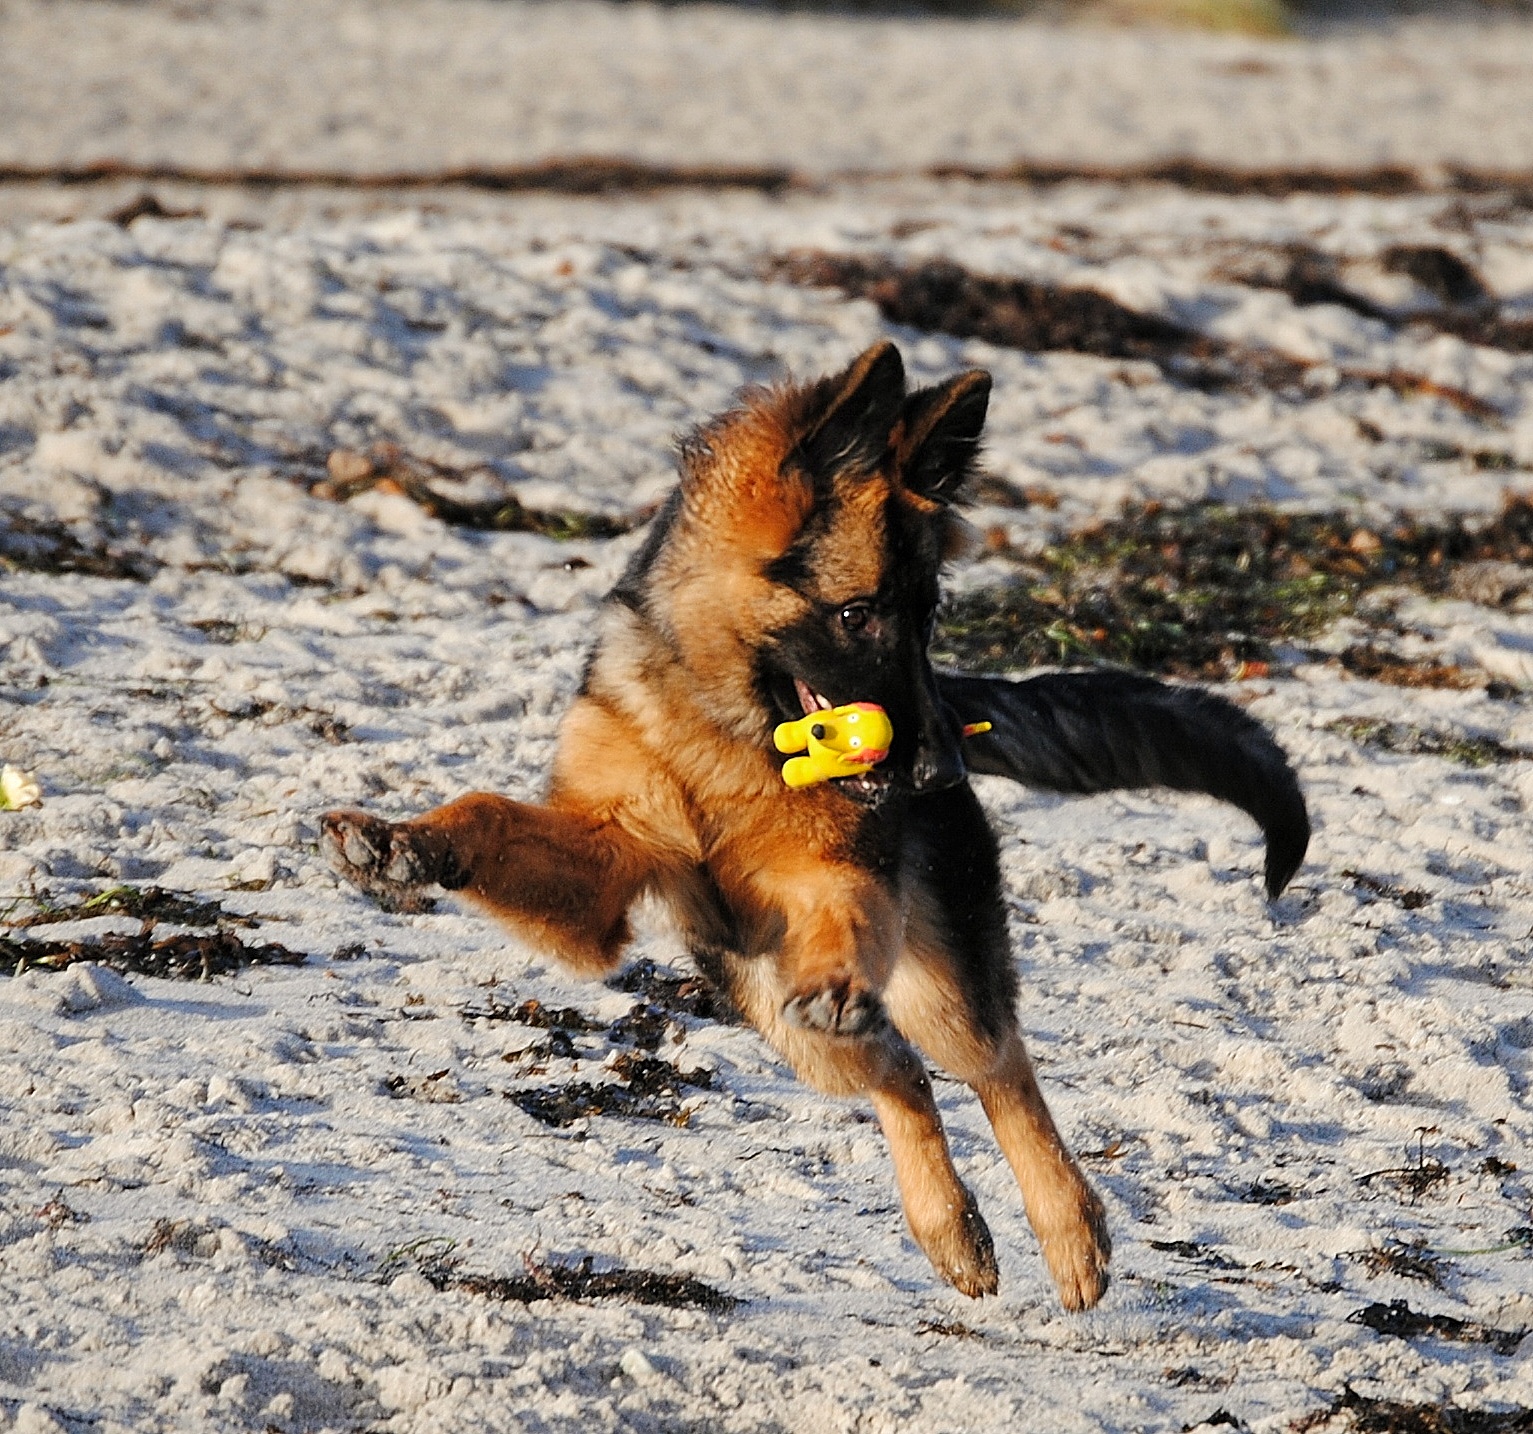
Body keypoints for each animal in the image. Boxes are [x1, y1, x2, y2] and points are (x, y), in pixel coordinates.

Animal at [323, 345, 1306, 1312]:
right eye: (856, 613)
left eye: (930, 613)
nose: (937, 774)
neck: (726, 732)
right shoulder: (603, 868)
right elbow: (487, 813)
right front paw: (403, 843)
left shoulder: (836, 872)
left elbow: (844, 922)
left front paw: (838, 975)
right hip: (770, 1006)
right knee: (899, 1073)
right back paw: (950, 1230)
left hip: (929, 987)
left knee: (994, 1066)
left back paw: (1070, 1235)